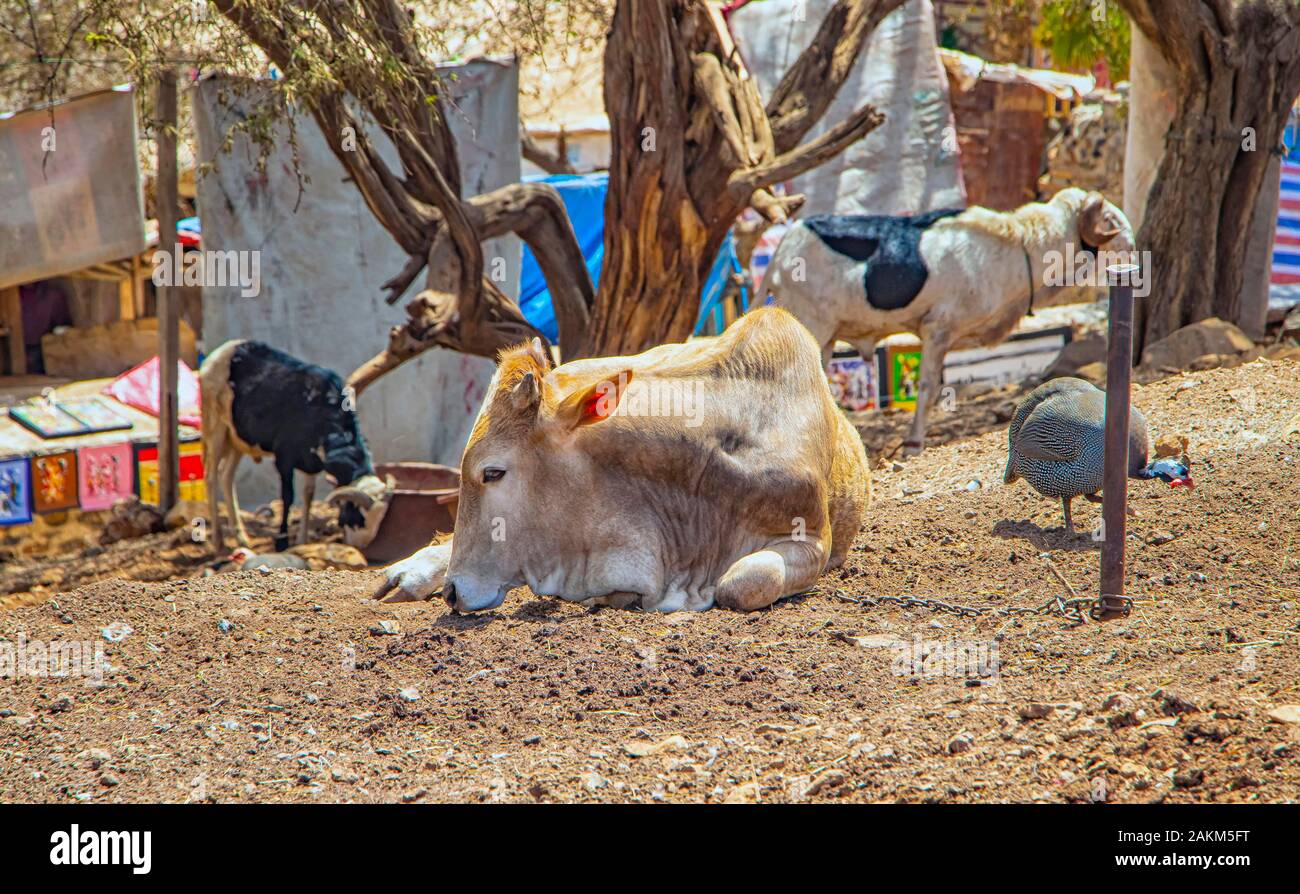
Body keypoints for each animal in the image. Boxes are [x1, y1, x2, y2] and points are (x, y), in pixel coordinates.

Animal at [764, 187, 1133, 454]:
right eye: (1109, 218)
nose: (1134, 246)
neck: (1018, 246)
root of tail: (785, 247)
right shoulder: (938, 329)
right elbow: (928, 389)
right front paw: (913, 444)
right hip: (813, 325)